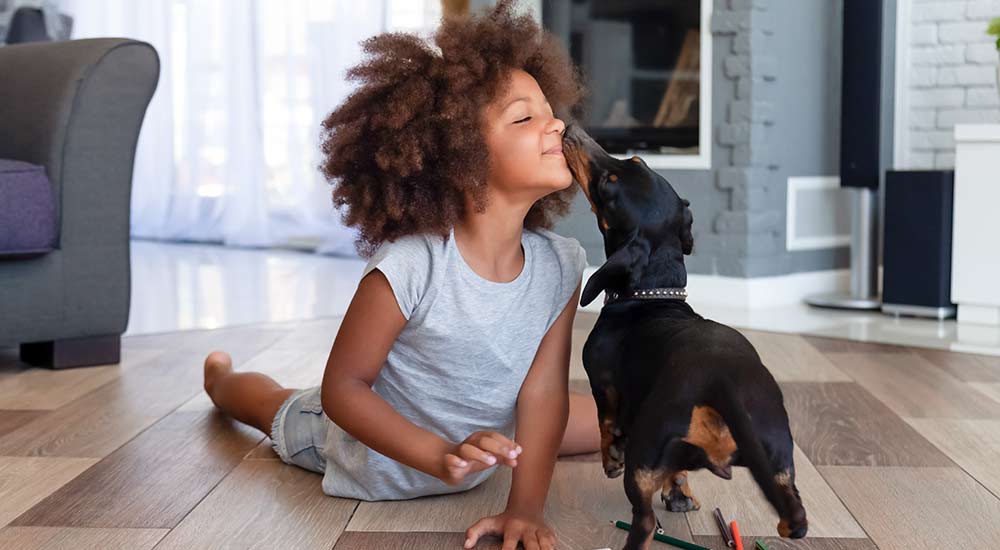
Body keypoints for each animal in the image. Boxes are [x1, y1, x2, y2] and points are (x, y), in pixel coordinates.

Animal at [560, 126, 808, 550]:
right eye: (636, 161)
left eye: (609, 183)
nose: (571, 130)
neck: (654, 295)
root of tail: (720, 383)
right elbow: (678, 473)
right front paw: (680, 494)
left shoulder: (602, 384)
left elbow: (606, 423)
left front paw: (610, 458)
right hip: (778, 459)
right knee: (795, 515)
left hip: (644, 455)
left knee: (643, 520)